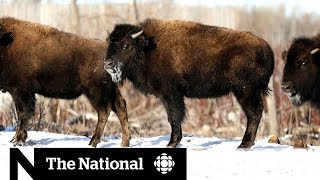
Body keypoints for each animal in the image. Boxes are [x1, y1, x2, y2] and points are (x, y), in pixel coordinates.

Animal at [0, 16, 131, 147]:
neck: (7, 43)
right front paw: (15, 139)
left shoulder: (21, 91)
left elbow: (22, 114)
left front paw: (17, 140)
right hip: (109, 91)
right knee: (120, 106)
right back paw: (124, 142)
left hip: (95, 92)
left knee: (105, 111)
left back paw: (93, 142)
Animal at [104, 18, 274, 148]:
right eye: (110, 44)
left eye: (126, 45)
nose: (108, 64)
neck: (147, 48)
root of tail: (267, 49)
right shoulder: (167, 96)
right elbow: (172, 117)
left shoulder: (171, 94)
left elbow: (174, 116)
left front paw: (172, 142)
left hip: (245, 91)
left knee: (254, 113)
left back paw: (244, 144)